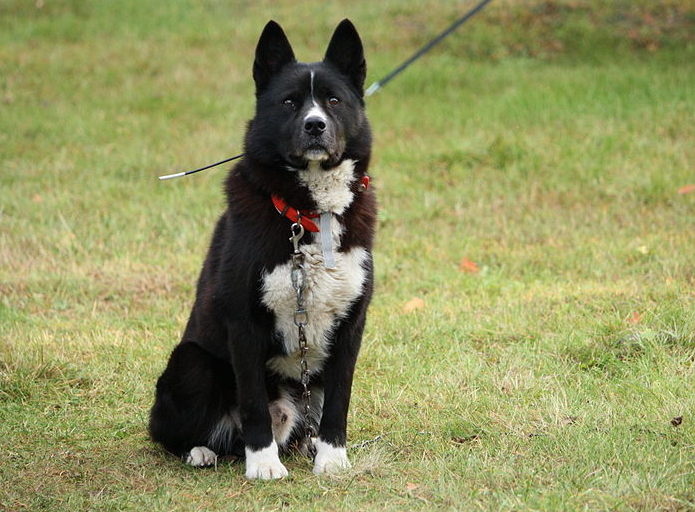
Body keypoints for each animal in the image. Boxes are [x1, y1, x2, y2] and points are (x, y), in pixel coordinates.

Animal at [148, 18, 376, 478]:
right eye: (289, 103)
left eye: (333, 100)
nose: (315, 125)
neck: (309, 214)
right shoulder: (244, 323)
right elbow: (253, 402)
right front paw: (264, 465)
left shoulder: (350, 326)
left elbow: (339, 401)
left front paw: (333, 458)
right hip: (192, 364)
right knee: (173, 433)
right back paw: (202, 451)